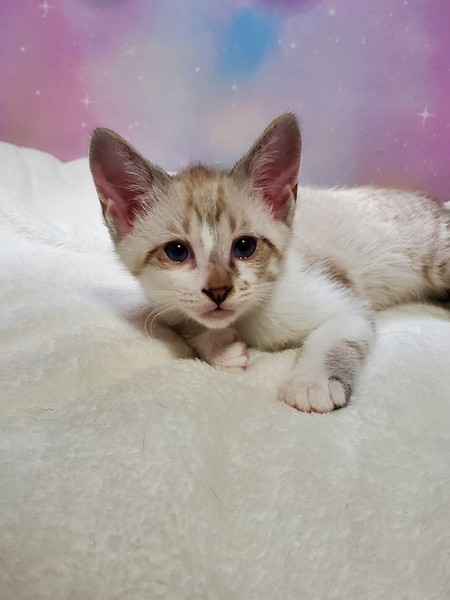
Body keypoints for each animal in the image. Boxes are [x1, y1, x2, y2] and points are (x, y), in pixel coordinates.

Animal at [89, 114, 450, 413]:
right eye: (177, 251)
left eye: (245, 246)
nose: (219, 291)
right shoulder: (166, 306)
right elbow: (188, 322)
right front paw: (220, 347)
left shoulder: (344, 295)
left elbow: (336, 333)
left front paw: (313, 382)